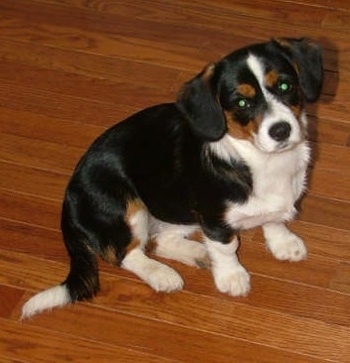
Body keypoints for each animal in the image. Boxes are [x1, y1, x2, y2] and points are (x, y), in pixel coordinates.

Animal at [21, 38, 322, 320]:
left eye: (285, 86)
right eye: (241, 102)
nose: (281, 131)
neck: (263, 160)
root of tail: (68, 197)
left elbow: (274, 220)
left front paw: (284, 244)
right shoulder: (214, 219)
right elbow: (227, 247)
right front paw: (232, 277)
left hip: (178, 212)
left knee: (157, 241)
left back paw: (198, 254)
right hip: (128, 207)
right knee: (127, 254)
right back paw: (163, 274)